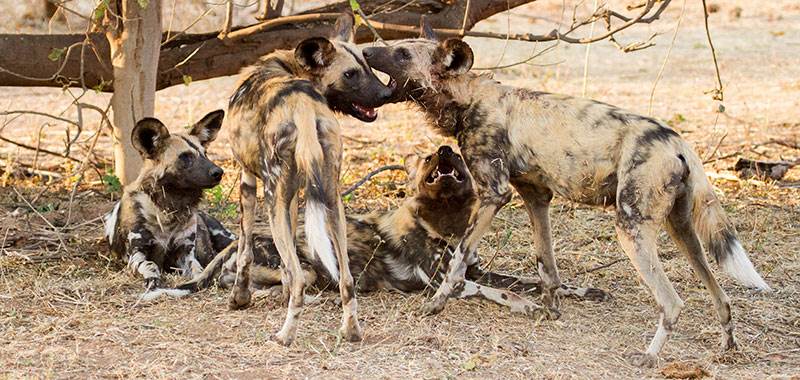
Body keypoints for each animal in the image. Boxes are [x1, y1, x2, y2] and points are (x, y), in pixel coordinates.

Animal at [103, 110, 234, 296]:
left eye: (205, 154)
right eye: (185, 157)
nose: (219, 172)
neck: (169, 208)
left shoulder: (185, 252)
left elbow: (198, 269)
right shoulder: (136, 254)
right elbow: (150, 265)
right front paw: (153, 279)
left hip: (226, 238)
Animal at [180, 145, 600, 314]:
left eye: (456, 156)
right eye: (429, 158)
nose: (445, 149)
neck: (446, 219)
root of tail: (235, 242)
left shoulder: (474, 271)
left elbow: (527, 280)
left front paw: (580, 291)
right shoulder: (449, 282)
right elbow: (505, 293)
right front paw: (530, 307)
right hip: (307, 267)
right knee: (280, 289)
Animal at [223, 14, 392, 346]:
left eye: (366, 68)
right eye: (352, 73)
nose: (386, 95)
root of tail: (302, 104)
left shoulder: (249, 182)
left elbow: (244, 251)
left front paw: (239, 298)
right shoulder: (293, 197)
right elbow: (286, 267)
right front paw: (281, 295)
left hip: (272, 200)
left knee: (301, 278)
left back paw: (284, 336)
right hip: (331, 200)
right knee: (346, 278)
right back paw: (351, 331)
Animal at [362, 24, 768, 368]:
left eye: (401, 54)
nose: (365, 50)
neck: (470, 99)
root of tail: (679, 142)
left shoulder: (493, 196)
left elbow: (458, 261)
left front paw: (436, 305)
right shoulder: (536, 198)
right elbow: (547, 268)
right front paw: (549, 310)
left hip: (631, 229)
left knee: (672, 302)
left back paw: (649, 358)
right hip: (683, 231)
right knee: (721, 294)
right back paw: (728, 349)